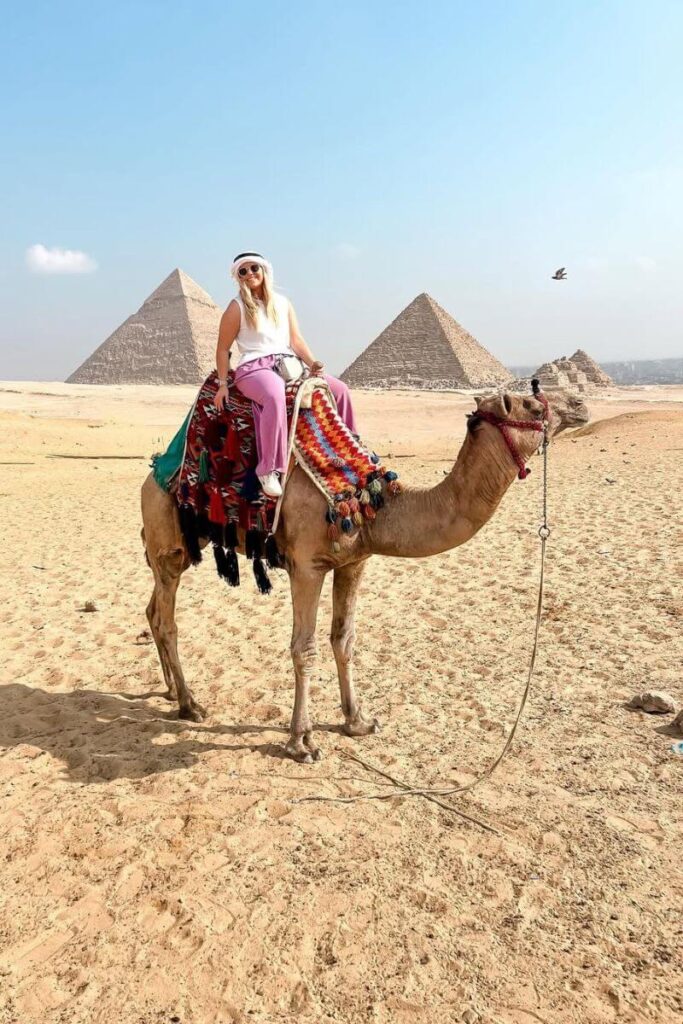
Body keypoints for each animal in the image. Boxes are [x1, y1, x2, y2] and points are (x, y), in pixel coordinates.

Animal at [141, 389, 587, 762]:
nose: (580, 404)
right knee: (167, 620)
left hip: (178, 547)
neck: (371, 507)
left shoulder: (354, 562)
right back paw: (190, 704)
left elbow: (344, 640)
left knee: (152, 611)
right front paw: (301, 742)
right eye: (534, 403)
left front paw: (357, 720)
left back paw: (170, 690)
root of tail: (152, 474)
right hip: (168, 542)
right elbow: (304, 648)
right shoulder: (307, 565)